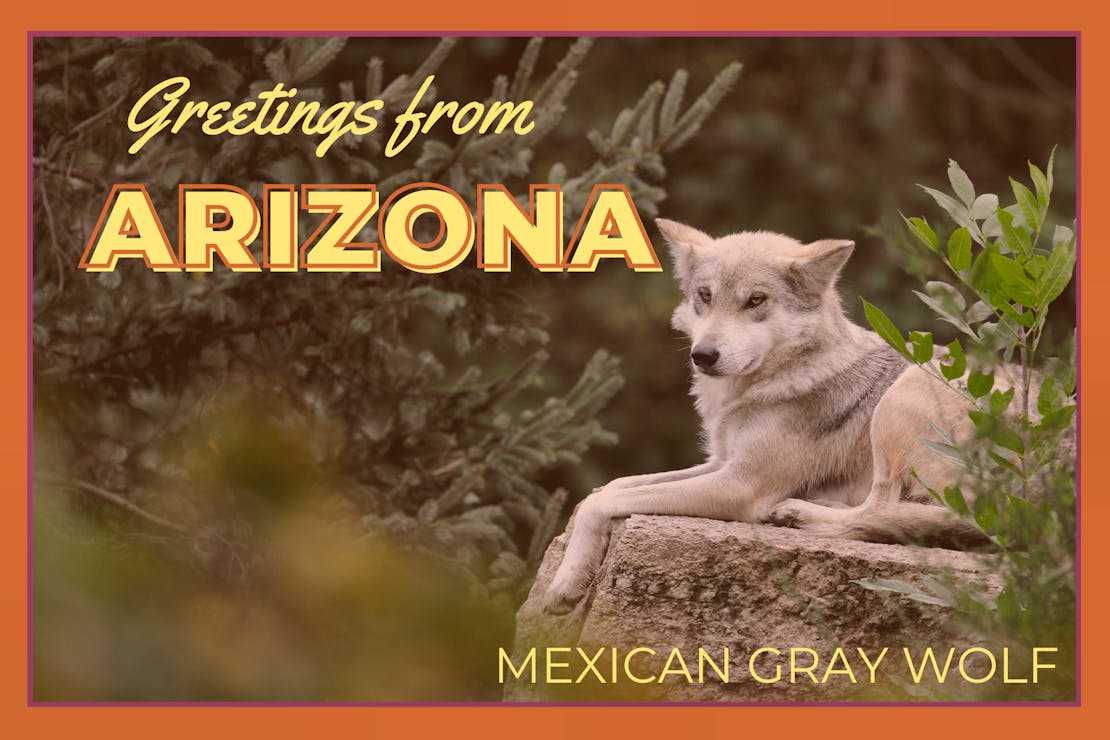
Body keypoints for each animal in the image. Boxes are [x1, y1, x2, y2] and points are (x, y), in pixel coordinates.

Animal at [543, 219, 989, 614]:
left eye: (756, 300)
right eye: (705, 295)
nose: (703, 355)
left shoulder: (740, 484)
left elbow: (602, 501)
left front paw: (565, 582)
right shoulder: (721, 462)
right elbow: (608, 488)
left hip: (900, 399)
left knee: (882, 510)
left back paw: (800, 513)